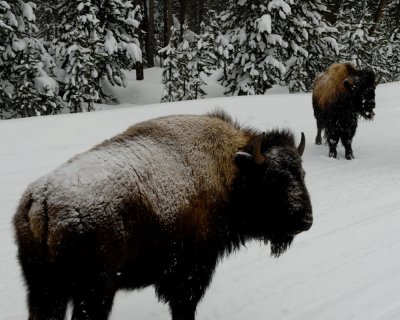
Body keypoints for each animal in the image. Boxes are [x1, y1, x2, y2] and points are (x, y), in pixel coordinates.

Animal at [13, 110, 312, 320]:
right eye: (274, 180)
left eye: (302, 173)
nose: (307, 220)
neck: (232, 171)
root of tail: (42, 201)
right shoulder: (191, 272)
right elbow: (183, 307)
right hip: (93, 293)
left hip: (43, 289)